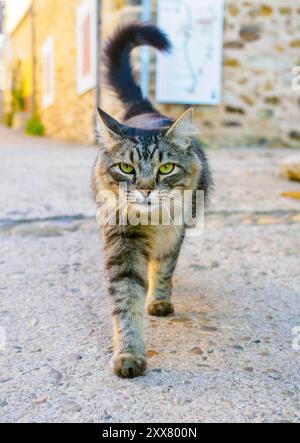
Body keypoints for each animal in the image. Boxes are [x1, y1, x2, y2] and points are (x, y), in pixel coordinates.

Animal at [92, 22, 212, 380]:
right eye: (127, 168)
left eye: (166, 168)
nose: (145, 189)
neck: (152, 223)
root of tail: (144, 111)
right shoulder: (122, 243)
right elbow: (126, 301)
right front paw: (129, 354)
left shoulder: (174, 235)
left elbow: (164, 270)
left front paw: (158, 300)